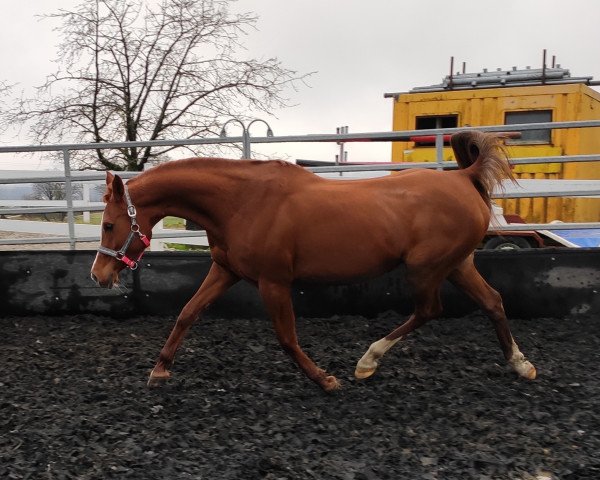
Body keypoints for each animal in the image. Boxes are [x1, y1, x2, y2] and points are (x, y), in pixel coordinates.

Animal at [91, 130, 536, 390]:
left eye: (109, 224)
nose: (98, 275)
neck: (241, 203)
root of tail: (464, 177)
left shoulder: (274, 282)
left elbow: (287, 338)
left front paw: (325, 379)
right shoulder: (226, 270)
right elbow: (187, 313)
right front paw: (160, 369)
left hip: (426, 268)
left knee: (430, 310)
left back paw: (367, 361)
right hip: (458, 264)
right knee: (492, 301)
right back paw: (521, 365)